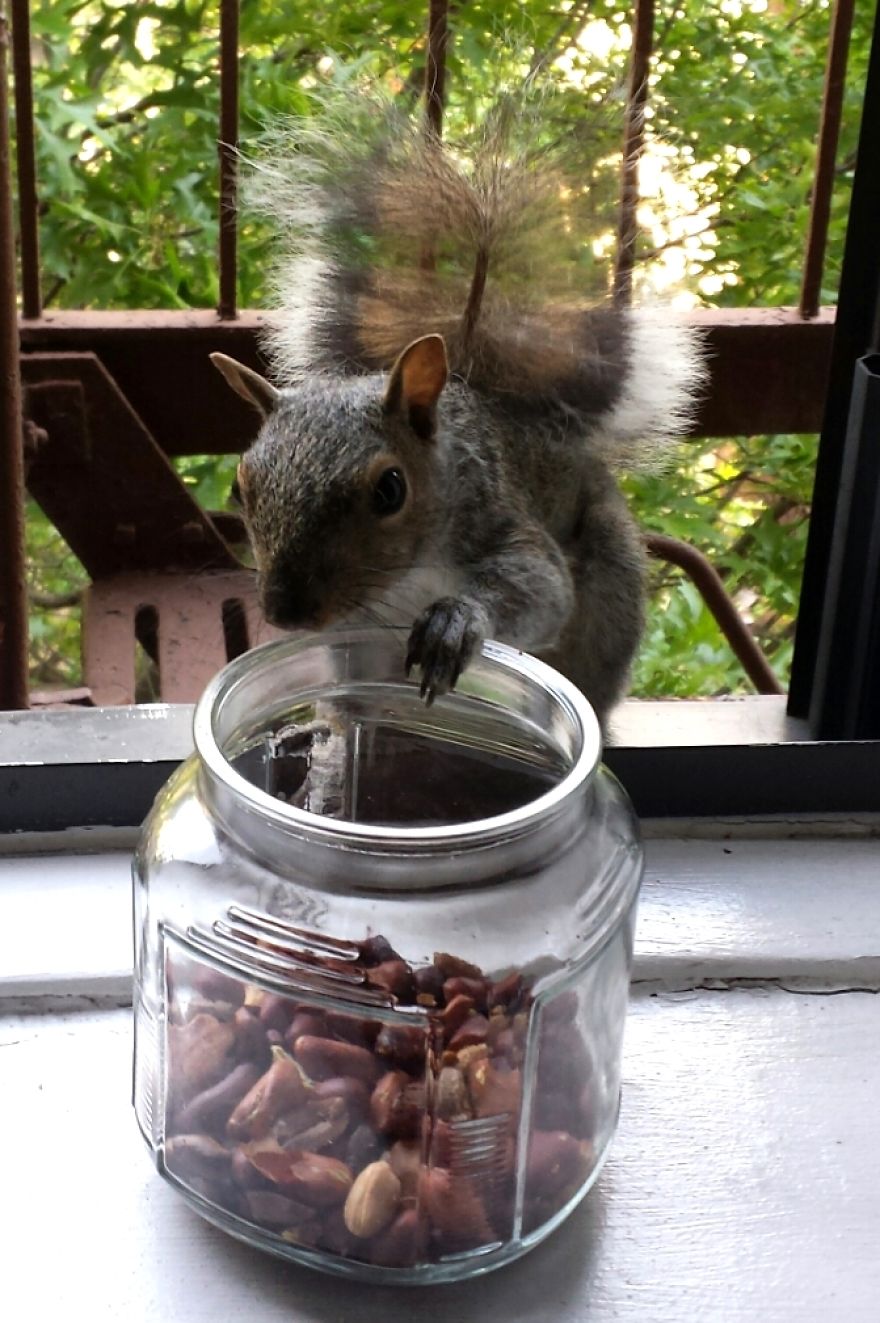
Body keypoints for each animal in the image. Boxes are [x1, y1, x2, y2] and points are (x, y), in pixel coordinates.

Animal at [210, 93, 704, 726]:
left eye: (390, 489)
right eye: (241, 487)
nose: (286, 611)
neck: (407, 578)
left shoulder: (499, 521)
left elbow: (543, 588)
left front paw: (454, 623)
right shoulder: (353, 630)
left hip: (609, 587)